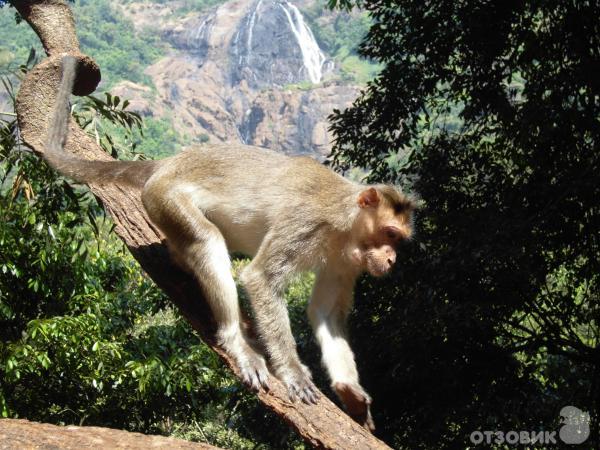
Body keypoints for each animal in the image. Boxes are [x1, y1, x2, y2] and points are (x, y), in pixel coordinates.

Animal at [44, 56, 414, 428]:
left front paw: (350, 390)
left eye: (399, 240)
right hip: (166, 197)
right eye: (389, 233)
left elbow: (324, 312)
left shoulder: (345, 261)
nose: (392, 259)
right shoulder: (304, 223)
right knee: (207, 241)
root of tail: (169, 163)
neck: (344, 223)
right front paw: (293, 372)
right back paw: (237, 341)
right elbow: (261, 279)